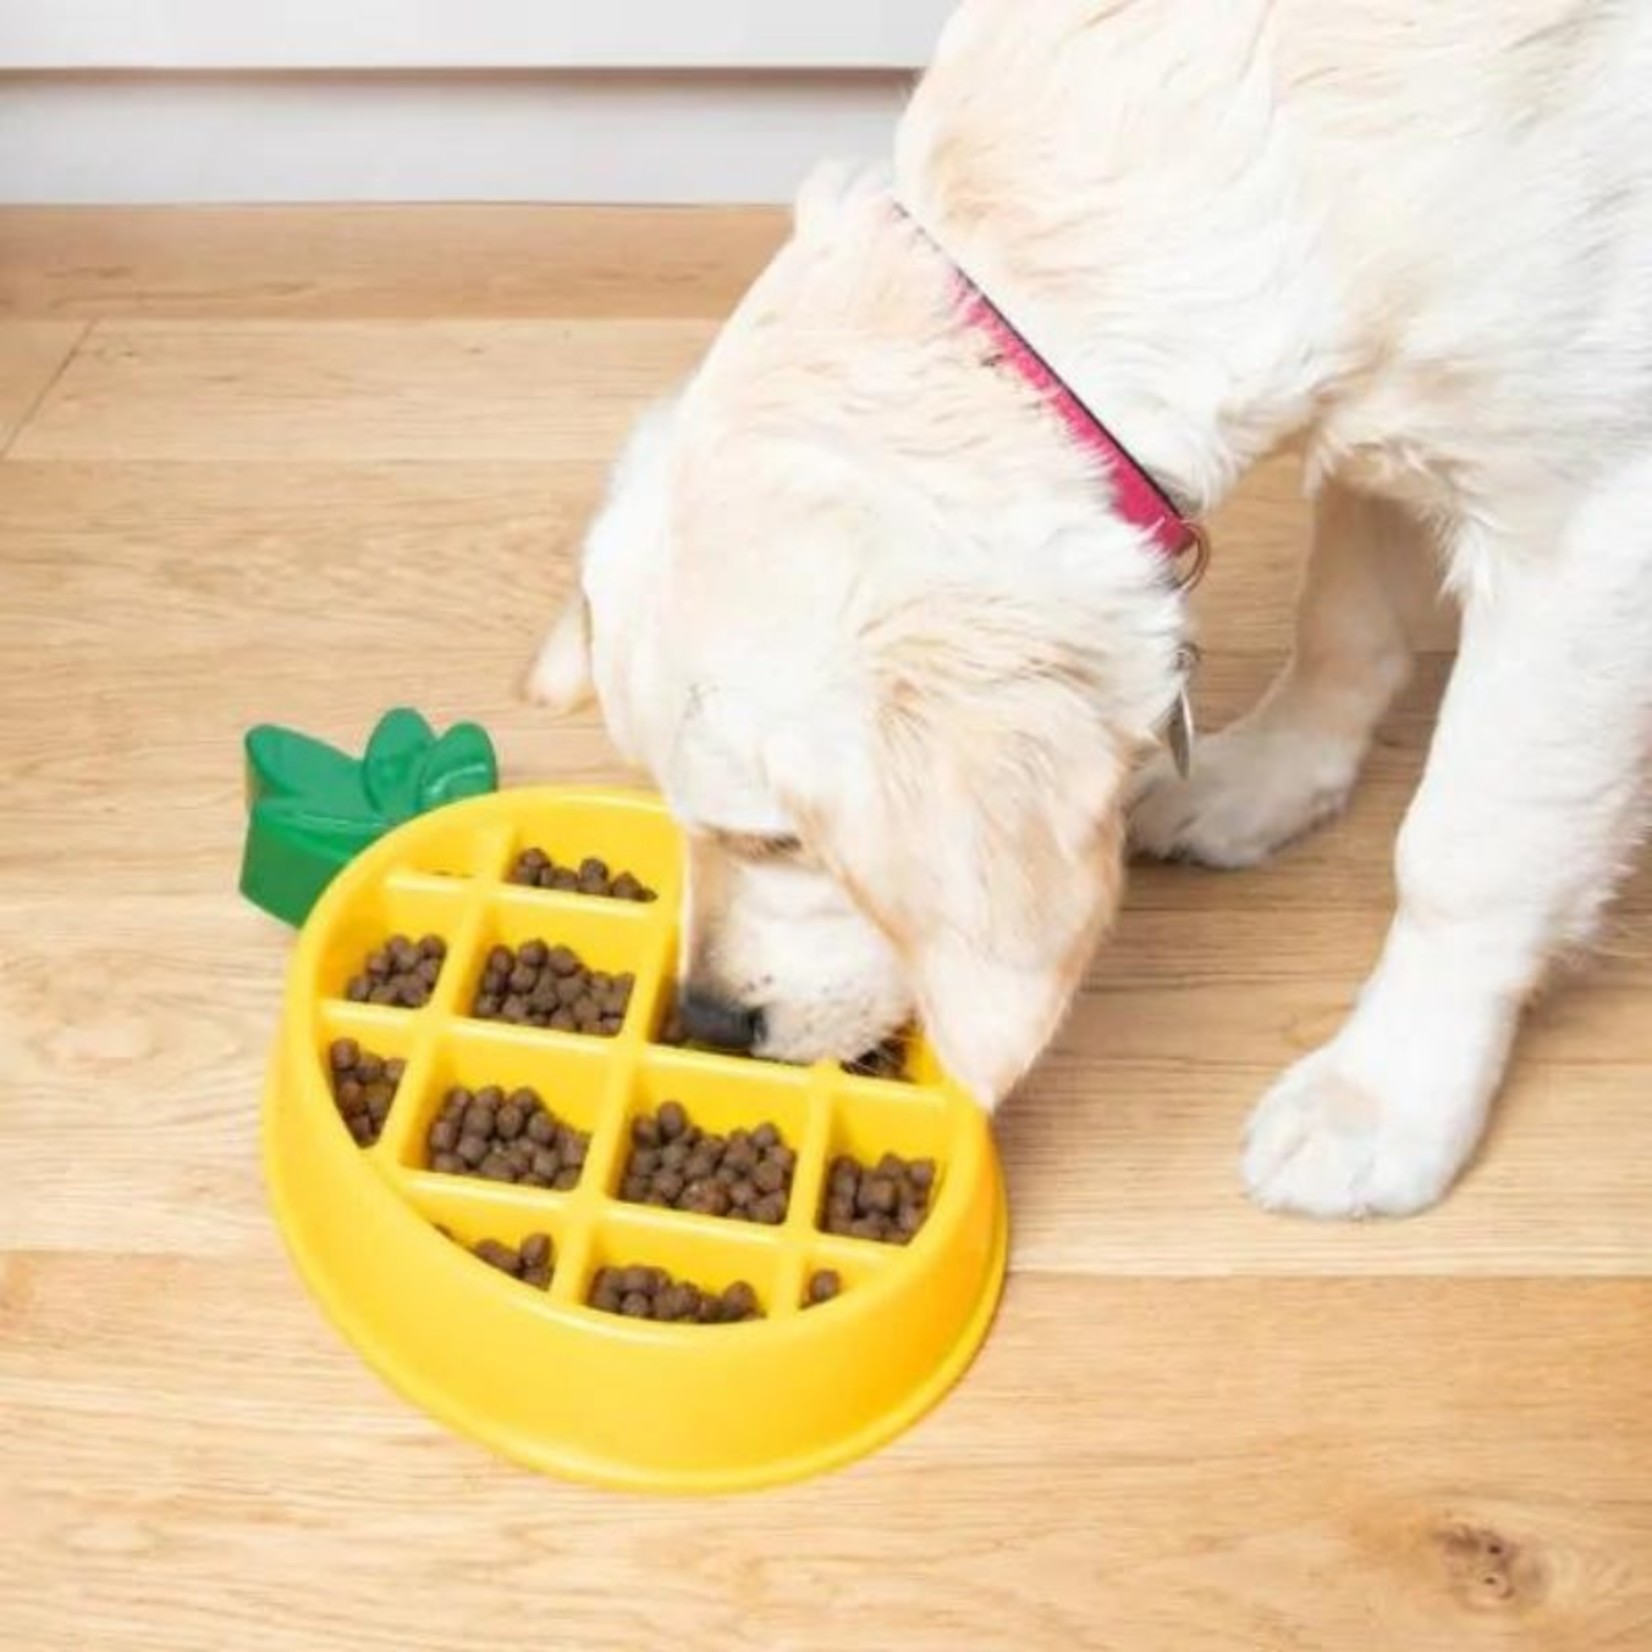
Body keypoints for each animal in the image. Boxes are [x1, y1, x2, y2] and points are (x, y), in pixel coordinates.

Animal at [528, 0, 1652, 1215]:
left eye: (779, 838)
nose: (711, 1021)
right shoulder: (1392, 421)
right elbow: (1343, 629)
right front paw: (1262, 780)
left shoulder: (1584, 524)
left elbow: (1467, 847)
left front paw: (1388, 1093)